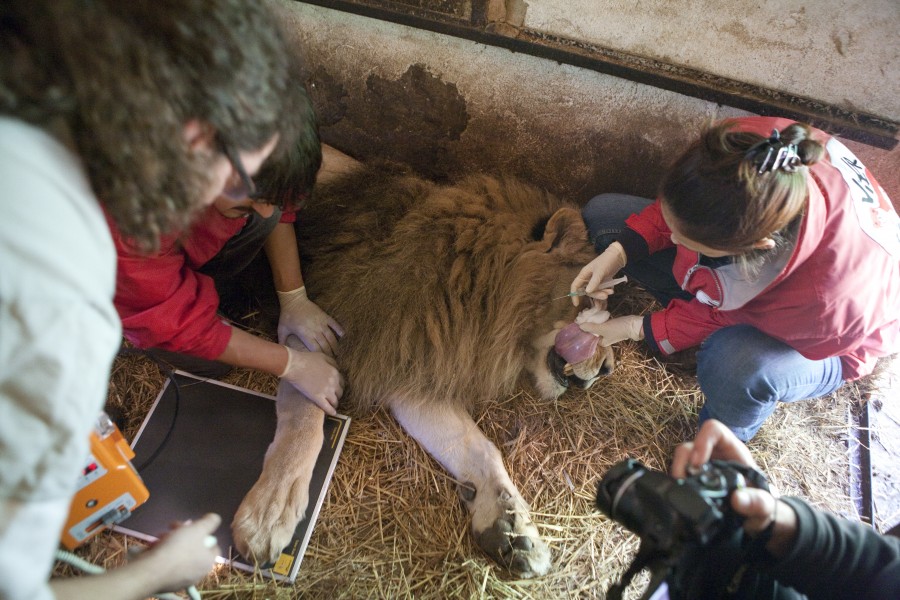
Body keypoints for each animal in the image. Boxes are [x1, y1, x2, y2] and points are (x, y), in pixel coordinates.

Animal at [229, 151, 616, 576]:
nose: (609, 368)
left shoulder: (414, 363)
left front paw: (511, 528)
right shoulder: (321, 324)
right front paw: (270, 513)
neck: (473, 296)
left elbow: (479, 448)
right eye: (592, 302)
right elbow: (304, 417)